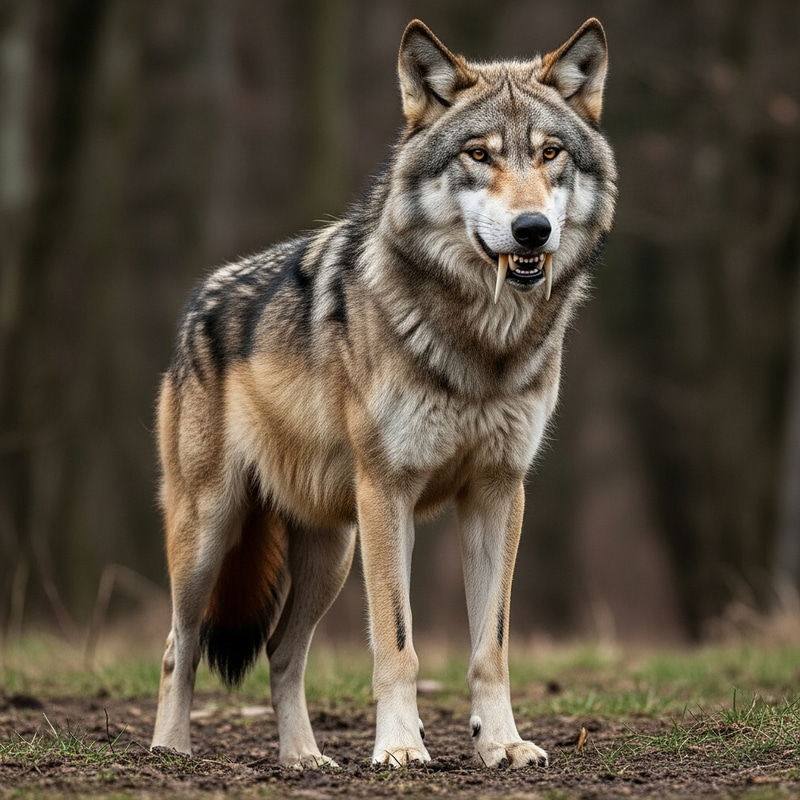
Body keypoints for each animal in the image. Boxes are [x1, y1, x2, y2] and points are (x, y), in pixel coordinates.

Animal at [150, 18, 616, 769]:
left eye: (550, 153)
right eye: (479, 154)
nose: (532, 229)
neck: (481, 341)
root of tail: (199, 299)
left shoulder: (498, 491)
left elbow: (491, 648)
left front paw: (503, 743)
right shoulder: (388, 492)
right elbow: (397, 646)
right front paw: (400, 748)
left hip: (331, 554)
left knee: (282, 653)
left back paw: (304, 760)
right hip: (211, 534)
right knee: (179, 644)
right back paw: (170, 753)